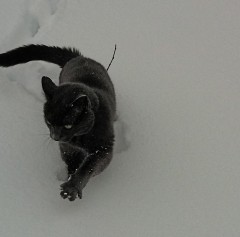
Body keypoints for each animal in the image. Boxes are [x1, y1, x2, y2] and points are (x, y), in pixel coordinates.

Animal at [0, 44, 116, 200]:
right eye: (49, 122)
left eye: (68, 125)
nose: (55, 136)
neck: (78, 139)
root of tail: (78, 57)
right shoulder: (67, 148)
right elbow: (73, 165)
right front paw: (69, 179)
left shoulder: (104, 148)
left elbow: (88, 167)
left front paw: (71, 188)